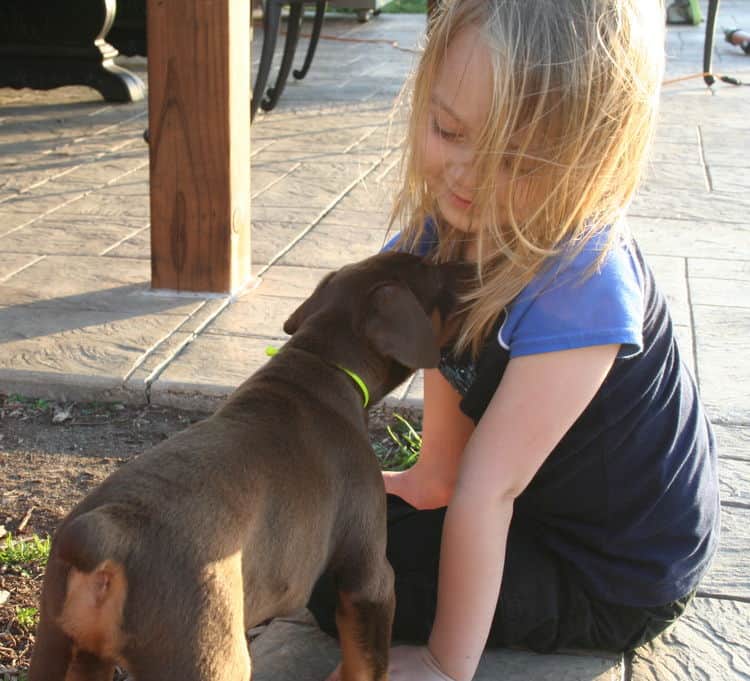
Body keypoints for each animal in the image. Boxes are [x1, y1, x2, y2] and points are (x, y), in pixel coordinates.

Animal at [30, 251, 464, 680]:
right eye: (432, 271)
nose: (466, 269)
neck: (322, 361)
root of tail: (108, 532)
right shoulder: (369, 578)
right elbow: (366, 663)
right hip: (204, 652)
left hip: (60, 645)